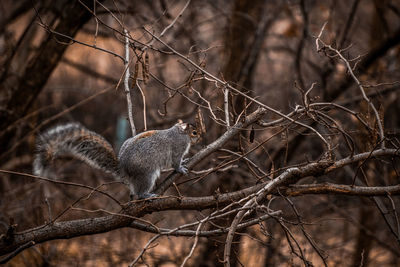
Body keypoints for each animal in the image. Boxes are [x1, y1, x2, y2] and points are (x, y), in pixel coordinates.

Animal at [33, 122, 199, 200]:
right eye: (194, 132)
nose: (201, 136)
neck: (179, 132)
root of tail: (124, 169)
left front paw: (186, 161)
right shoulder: (177, 148)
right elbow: (175, 162)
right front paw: (180, 168)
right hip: (146, 175)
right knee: (140, 191)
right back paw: (146, 195)